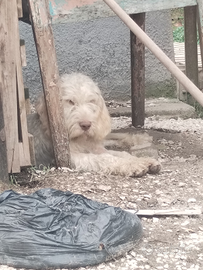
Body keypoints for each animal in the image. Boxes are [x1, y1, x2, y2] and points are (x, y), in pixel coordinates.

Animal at [27, 73, 160, 176]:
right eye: (70, 101)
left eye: (91, 101)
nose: (86, 125)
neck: (81, 139)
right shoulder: (69, 158)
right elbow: (105, 158)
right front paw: (133, 164)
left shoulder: (96, 147)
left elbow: (120, 153)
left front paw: (143, 160)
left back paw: (138, 138)